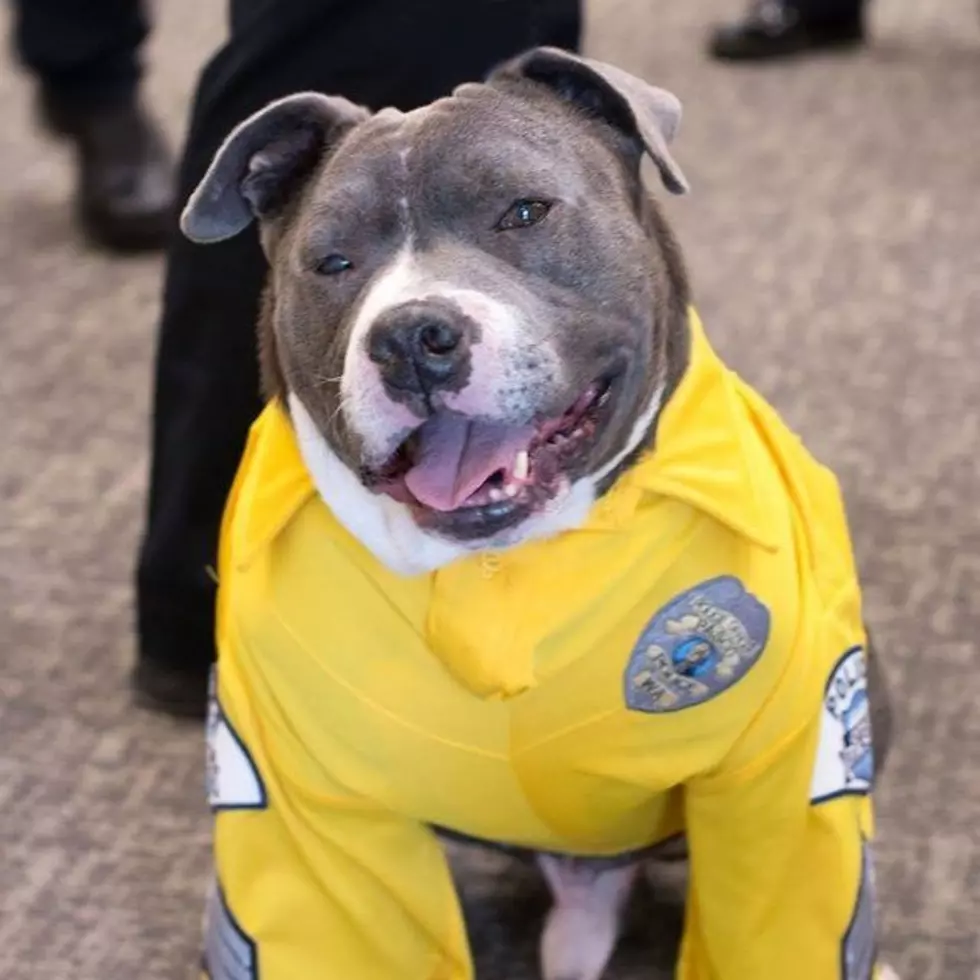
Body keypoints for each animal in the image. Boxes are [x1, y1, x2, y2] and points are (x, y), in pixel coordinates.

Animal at [182, 47, 896, 980]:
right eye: (332, 261)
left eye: (523, 211)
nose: (411, 339)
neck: (499, 567)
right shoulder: (295, 803)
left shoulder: (787, 780)